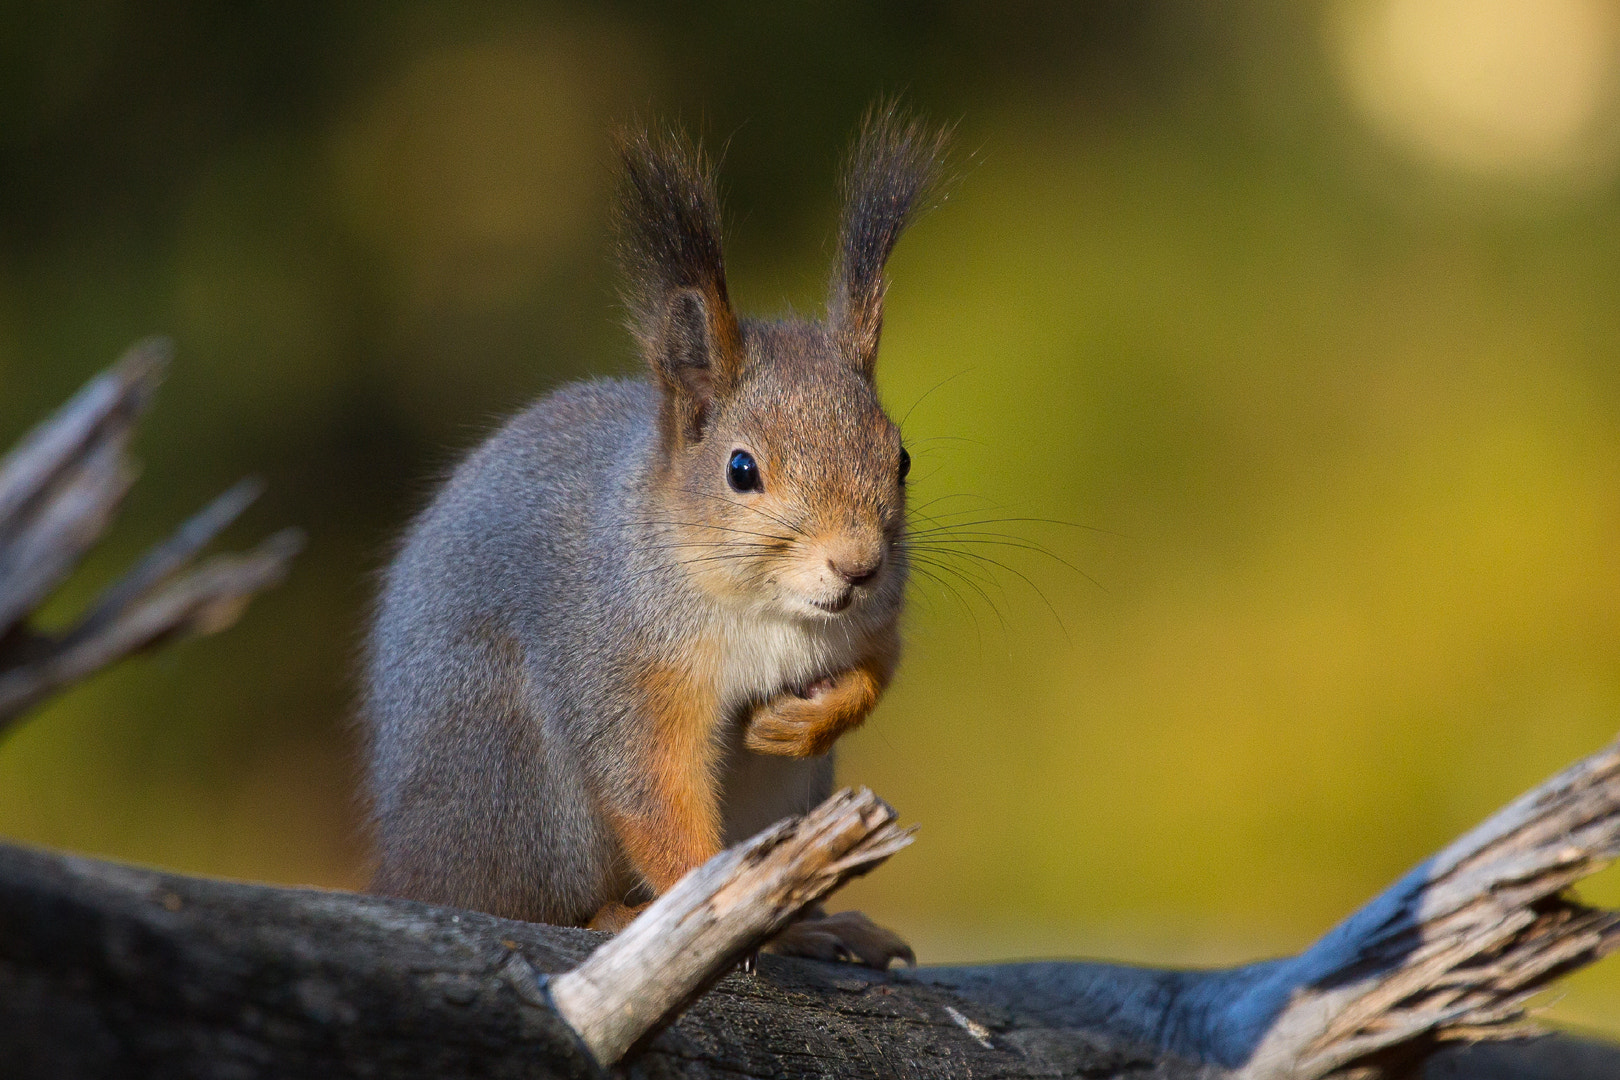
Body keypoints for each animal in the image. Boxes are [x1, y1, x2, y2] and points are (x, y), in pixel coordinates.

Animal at [361, 108, 947, 969]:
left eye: (900, 459)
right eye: (741, 469)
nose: (859, 565)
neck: (766, 608)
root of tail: (409, 871)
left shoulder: (872, 623)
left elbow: (878, 667)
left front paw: (799, 720)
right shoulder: (619, 668)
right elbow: (651, 794)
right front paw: (712, 895)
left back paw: (811, 926)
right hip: (518, 783)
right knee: (532, 899)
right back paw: (619, 916)